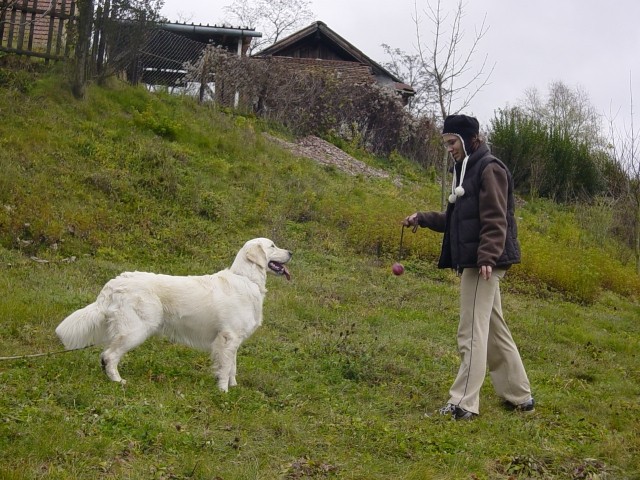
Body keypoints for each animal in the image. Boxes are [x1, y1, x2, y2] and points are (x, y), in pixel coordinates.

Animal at [55, 238, 292, 392]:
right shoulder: (229, 336)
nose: (292, 253)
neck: (247, 278)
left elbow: (232, 365)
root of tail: (115, 282)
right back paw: (118, 381)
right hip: (137, 330)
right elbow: (226, 367)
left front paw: (233, 386)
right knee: (109, 355)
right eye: (273, 246)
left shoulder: (233, 339)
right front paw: (223, 391)